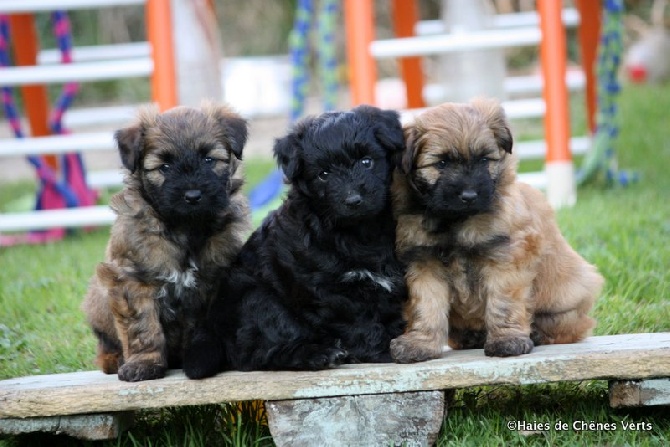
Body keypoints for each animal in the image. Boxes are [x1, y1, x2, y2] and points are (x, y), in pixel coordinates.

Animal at [82, 102, 251, 382]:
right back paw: (115, 359)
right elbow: (143, 327)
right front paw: (144, 364)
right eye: (165, 166)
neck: (185, 228)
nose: (192, 195)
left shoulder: (216, 280)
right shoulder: (133, 281)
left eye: (208, 159)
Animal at [182, 106, 410, 378]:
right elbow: (359, 321)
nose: (353, 200)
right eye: (324, 175)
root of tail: (212, 328)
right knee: (260, 353)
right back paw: (320, 355)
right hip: (258, 301)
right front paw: (384, 350)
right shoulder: (331, 290)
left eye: (367, 162)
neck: (359, 231)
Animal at [392, 99, 608, 364]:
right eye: (441, 163)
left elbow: (503, 303)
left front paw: (507, 340)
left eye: (484, 160)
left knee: (568, 324)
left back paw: (536, 332)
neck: (456, 221)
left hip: (570, 293)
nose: (469, 195)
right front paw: (420, 344)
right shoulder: (424, 263)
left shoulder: (506, 258)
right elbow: (426, 306)